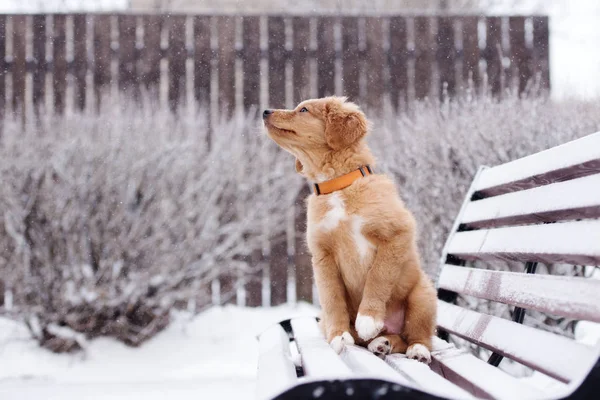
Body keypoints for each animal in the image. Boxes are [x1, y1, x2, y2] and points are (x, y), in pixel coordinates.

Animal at [262, 97, 436, 362]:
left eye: (304, 110)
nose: (264, 111)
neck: (337, 187)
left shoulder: (397, 234)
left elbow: (378, 275)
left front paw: (368, 319)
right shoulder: (323, 255)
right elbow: (331, 297)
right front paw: (339, 336)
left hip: (423, 294)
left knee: (417, 336)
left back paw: (416, 349)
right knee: (392, 339)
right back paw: (381, 343)